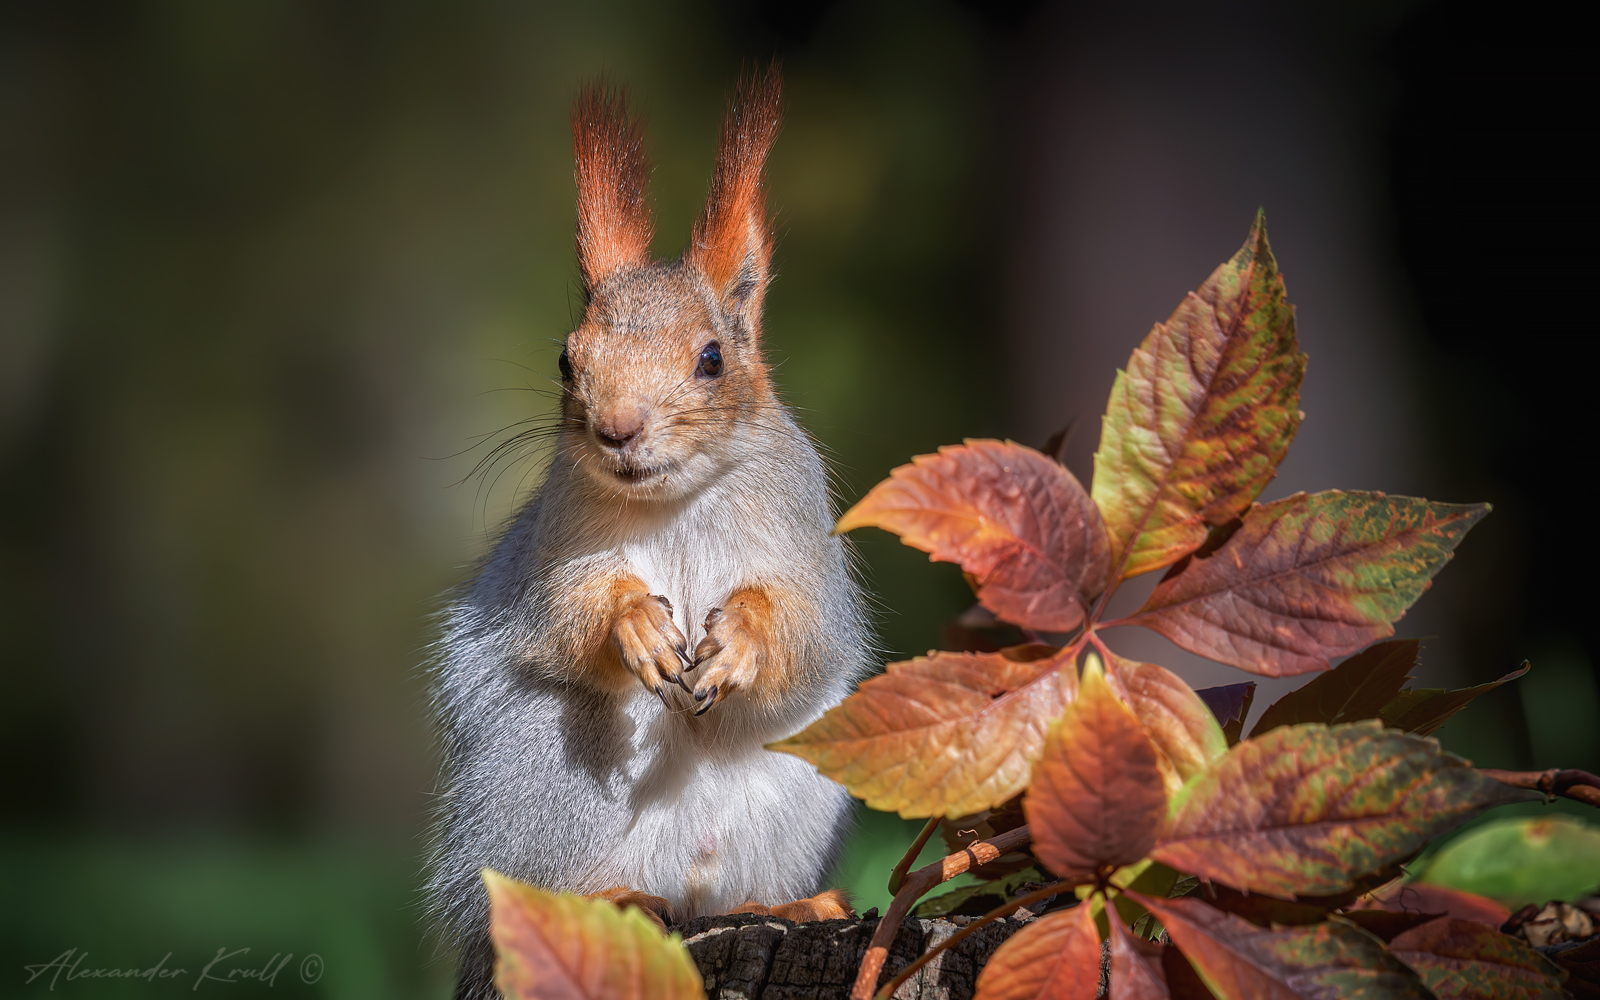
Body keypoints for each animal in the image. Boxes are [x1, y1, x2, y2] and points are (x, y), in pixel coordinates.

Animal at [425, 66, 876, 992]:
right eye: (567, 359)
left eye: (712, 358)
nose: (617, 428)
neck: (677, 499)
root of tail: (684, 882)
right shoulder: (552, 550)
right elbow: (562, 615)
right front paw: (631, 622)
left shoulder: (808, 542)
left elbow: (808, 629)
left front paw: (741, 639)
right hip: (542, 781)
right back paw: (611, 897)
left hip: (806, 779)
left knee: (738, 888)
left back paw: (793, 904)